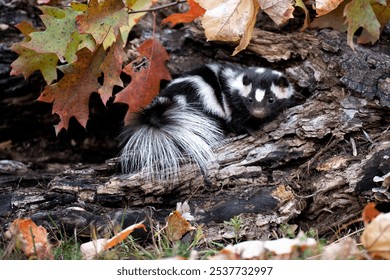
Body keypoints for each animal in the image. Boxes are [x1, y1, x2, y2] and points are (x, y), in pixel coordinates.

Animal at [119, 63, 292, 182]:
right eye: (249, 99)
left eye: (271, 99)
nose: (258, 112)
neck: (236, 80)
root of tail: (167, 101)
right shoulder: (232, 103)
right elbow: (237, 120)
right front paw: (253, 129)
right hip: (200, 105)